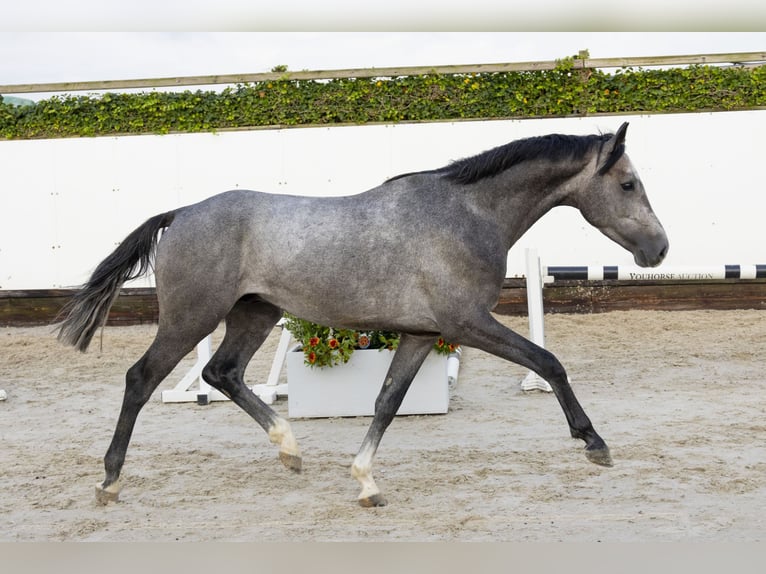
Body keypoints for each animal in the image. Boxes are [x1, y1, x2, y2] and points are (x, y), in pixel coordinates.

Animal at [58, 122, 672, 508]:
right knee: (143, 378)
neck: (467, 213)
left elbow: (387, 401)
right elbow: (548, 362)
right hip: (191, 318)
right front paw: (594, 443)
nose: (660, 249)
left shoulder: (425, 334)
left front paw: (365, 483)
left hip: (255, 315)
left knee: (222, 373)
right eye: (627, 183)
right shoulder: (467, 323)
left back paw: (290, 450)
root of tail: (181, 212)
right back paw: (109, 482)